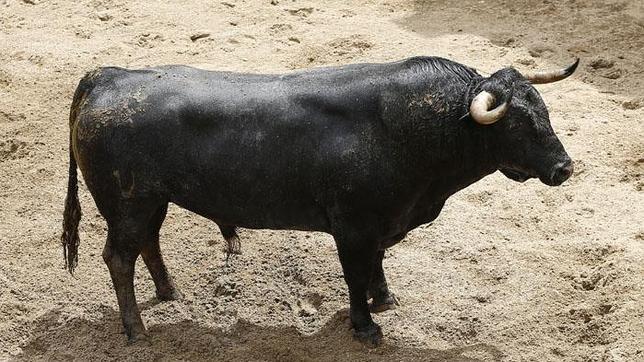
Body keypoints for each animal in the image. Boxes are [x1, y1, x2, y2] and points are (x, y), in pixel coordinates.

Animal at [60, 55, 580, 346]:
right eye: (519, 125)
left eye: (545, 113)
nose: (564, 168)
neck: (412, 128)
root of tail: (107, 77)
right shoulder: (352, 227)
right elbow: (354, 274)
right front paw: (366, 326)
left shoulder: (381, 224)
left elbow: (377, 263)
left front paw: (384, 298)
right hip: (128, 205)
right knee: (118, 257)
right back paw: (136, 331)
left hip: (151, 202)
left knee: (147, 244)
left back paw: (170, 293)